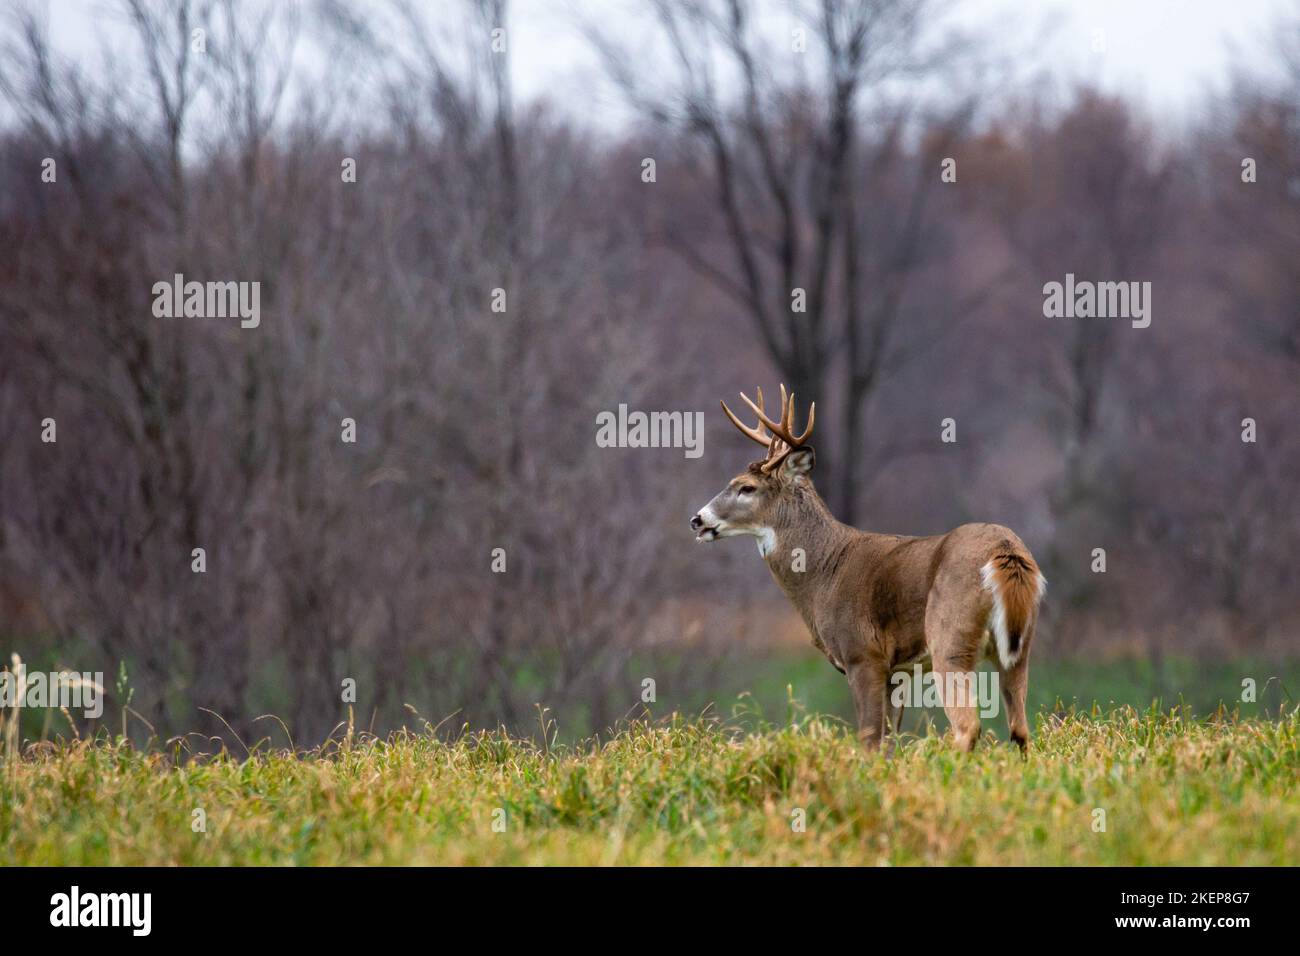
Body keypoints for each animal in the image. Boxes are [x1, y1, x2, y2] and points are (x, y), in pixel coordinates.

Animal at [691, 385, 1045, 749]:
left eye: (746, 487)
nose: (697, 520)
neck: (824, 573)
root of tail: (1006, 551)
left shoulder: (862, 654)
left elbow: (869, 738)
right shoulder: (898, 670)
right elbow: (887, 741)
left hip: (950, 636)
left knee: (968, 725)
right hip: (1019, 647)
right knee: (1020, 729)